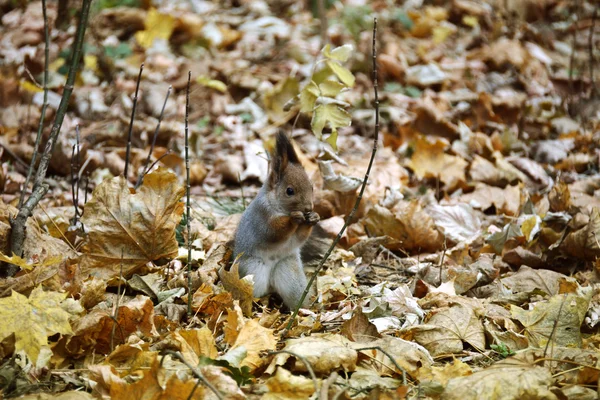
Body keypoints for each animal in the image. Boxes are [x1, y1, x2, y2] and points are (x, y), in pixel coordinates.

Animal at [233, 132, 322, 310]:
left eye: (311, 187)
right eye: (289, 191)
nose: (308, 208)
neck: (281, 209)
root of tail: (270, 285)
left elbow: (298, 238)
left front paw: (314, 218)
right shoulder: (262, 217)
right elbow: (273, 232)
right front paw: (293, 219)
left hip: (289, 271)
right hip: (252, 269)